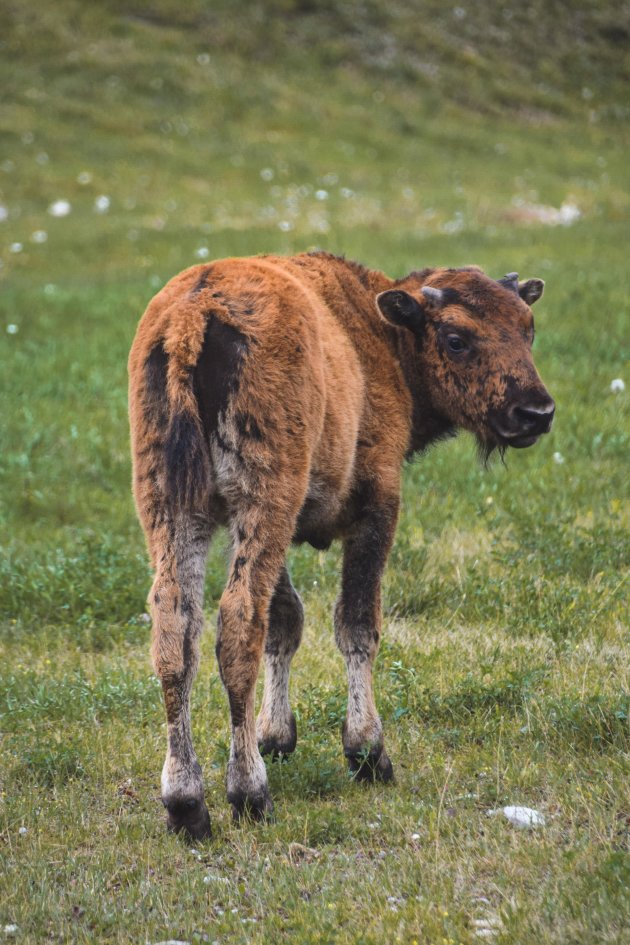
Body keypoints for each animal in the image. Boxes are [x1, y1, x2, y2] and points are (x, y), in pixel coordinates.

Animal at [130, 253, 556, 840]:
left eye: (528, 327)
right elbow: (356, 624)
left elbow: (286, 623)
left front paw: (277, 736)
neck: (380, 335)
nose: (535, 412)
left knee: (176, 631)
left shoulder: (269, 528)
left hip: (173, 508)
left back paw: (186, 804)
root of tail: (195, 314)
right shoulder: (376, 506)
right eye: (455, 338)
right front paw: (368, 753)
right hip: (263, 498)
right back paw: (249, 793)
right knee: (237, 625)